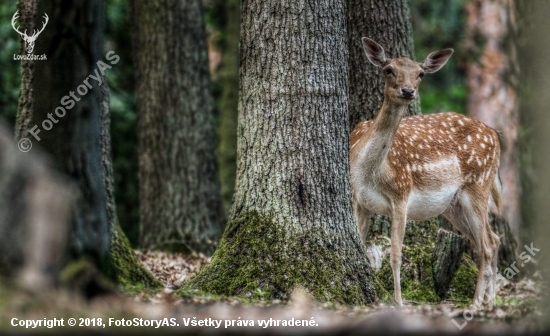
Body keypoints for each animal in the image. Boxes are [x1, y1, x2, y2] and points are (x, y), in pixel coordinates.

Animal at [354, 38, 504, 308]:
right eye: (388, 69)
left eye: (420, 74)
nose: (408, 91)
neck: (369, 171)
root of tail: (495, 134)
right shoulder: (358, 199)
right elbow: (360, 243)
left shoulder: (401, 194)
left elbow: (396, 254)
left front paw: (399, 302)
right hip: (453, 205)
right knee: (493, 239)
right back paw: (491, 302)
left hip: (478, 184)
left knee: (486, 246)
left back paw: (477, 303)